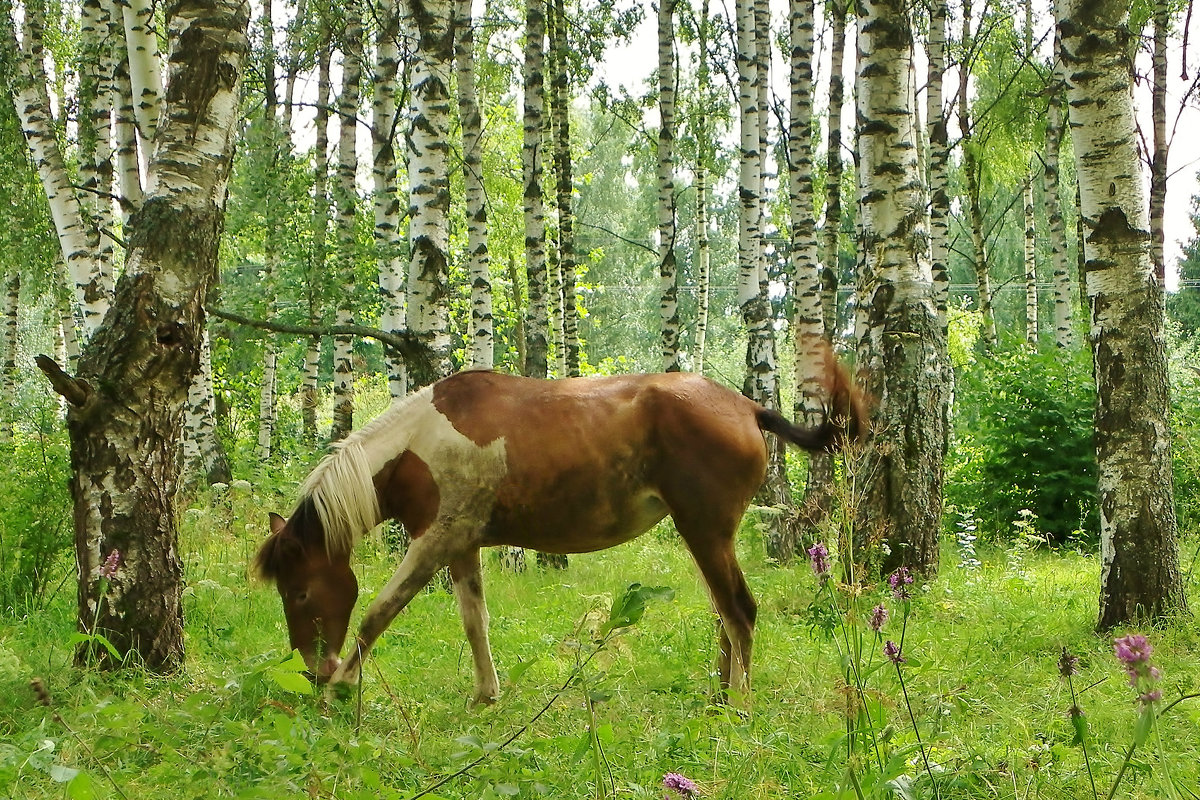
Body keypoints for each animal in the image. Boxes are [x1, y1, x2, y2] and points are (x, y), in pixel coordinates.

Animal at [258, 352, 868, 705]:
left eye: (301, 592)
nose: (312, 670)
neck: (417, 445)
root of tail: (746, 408)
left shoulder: (435, 541)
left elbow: (378, 613)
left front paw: (343, 686)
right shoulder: (460, 544)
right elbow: (474, 620)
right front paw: (486, 695)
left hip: (705, 531)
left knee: (739, 612)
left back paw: (737, 704)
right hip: (708, 537)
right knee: (727, 613)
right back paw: (719, 693)